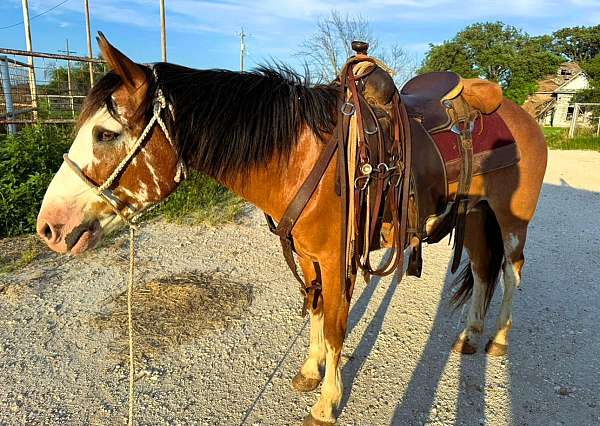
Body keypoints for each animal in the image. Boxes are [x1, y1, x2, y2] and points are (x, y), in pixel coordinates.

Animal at [35, 35, 548, 424]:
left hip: (511, 220)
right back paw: (471, 335)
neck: (302, 156)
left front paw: (327, 402)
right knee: (482, 272)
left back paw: (499, 339)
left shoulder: (335, 258)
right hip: (476, 213)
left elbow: (337, 326)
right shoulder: (308, 256)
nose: (49, 227)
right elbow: (317, 313)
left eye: (105, 133)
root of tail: (518, 111)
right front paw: (310, 370)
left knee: (511, 273)